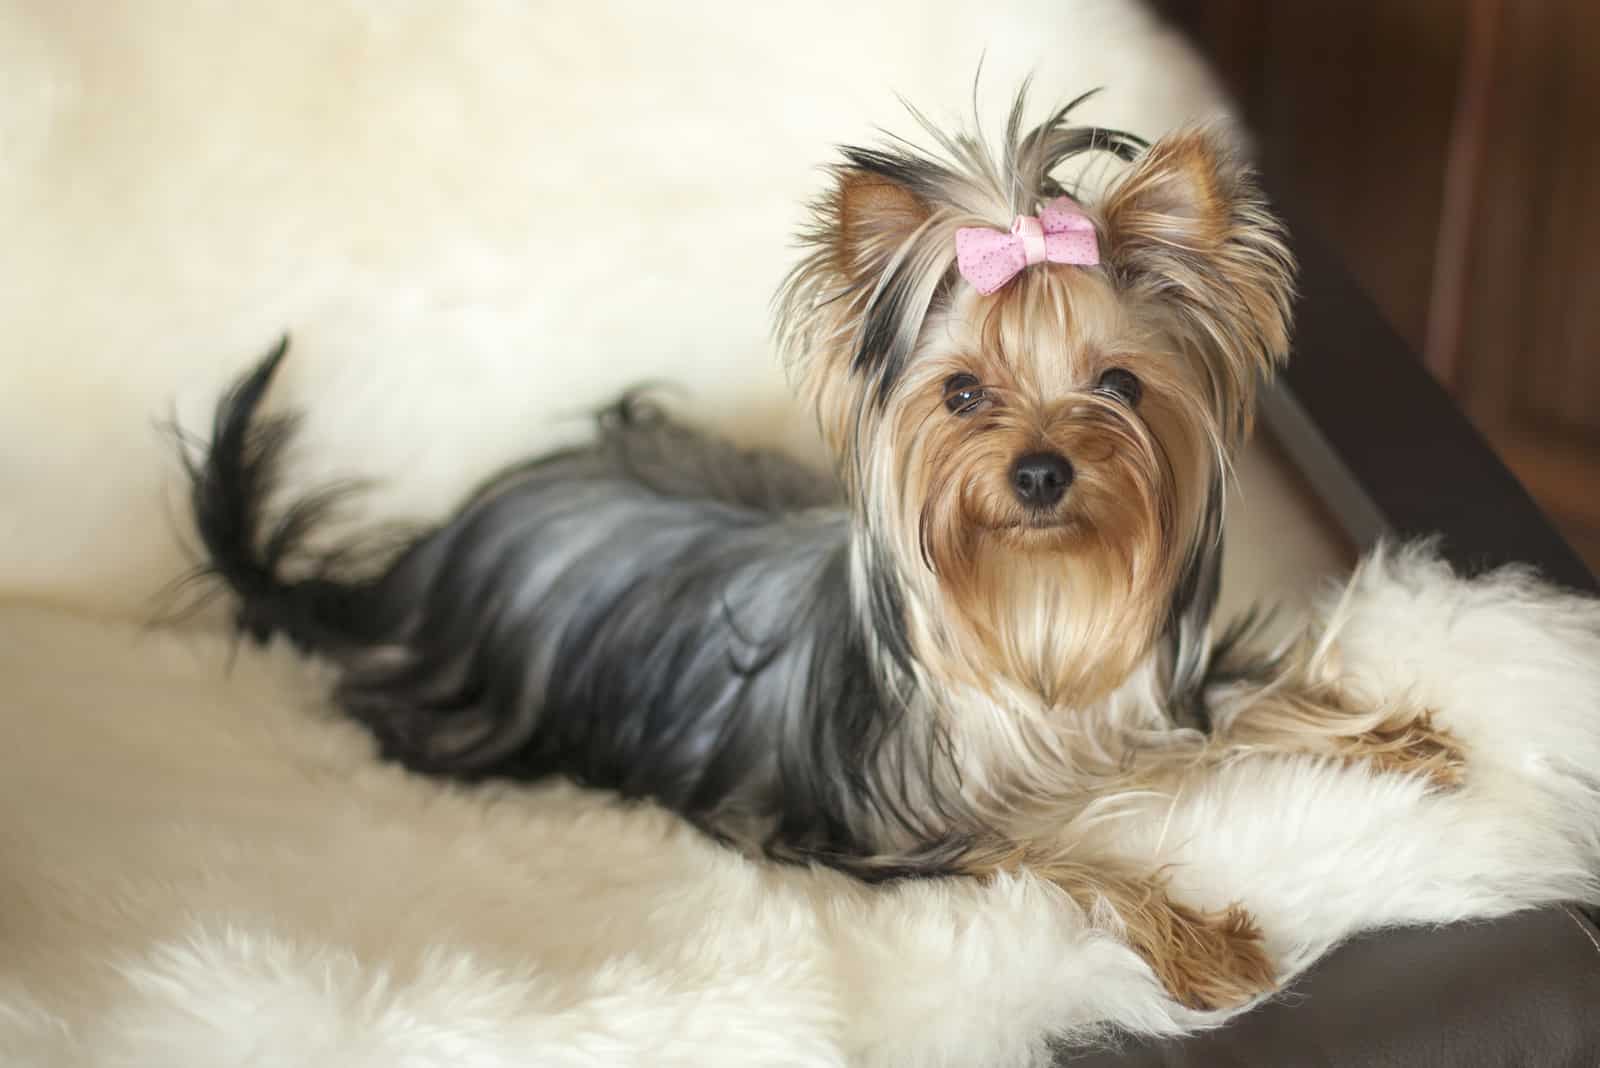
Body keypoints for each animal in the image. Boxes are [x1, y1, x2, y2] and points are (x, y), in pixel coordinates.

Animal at [184, 89, 1465, 1010]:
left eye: (1116, 385)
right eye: (960, 393)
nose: (1040, 471)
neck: (1035, 601)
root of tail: (421, 560)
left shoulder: (1151, 695)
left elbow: (1246, 702)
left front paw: (1392, 735)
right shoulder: (902, 833)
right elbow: (1069, 860)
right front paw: (1205, 941)